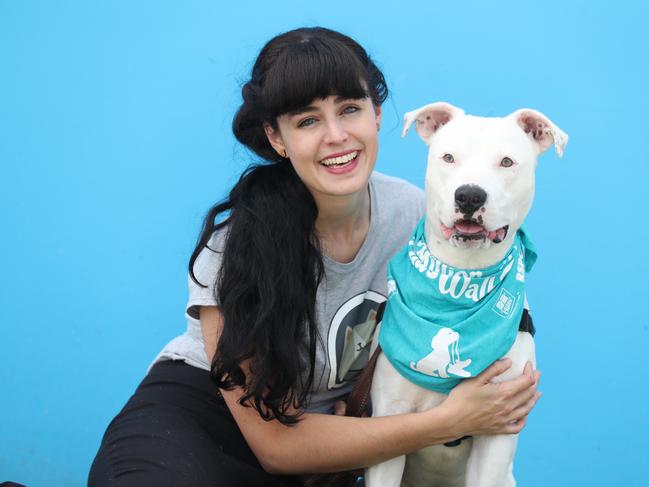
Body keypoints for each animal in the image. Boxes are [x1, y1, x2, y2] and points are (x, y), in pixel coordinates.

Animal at [364, 101, 568, 486]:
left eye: (507, 162)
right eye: (448, 157)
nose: (470, 195)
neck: (461, 278)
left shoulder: (497, 432)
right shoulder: (388, 424)